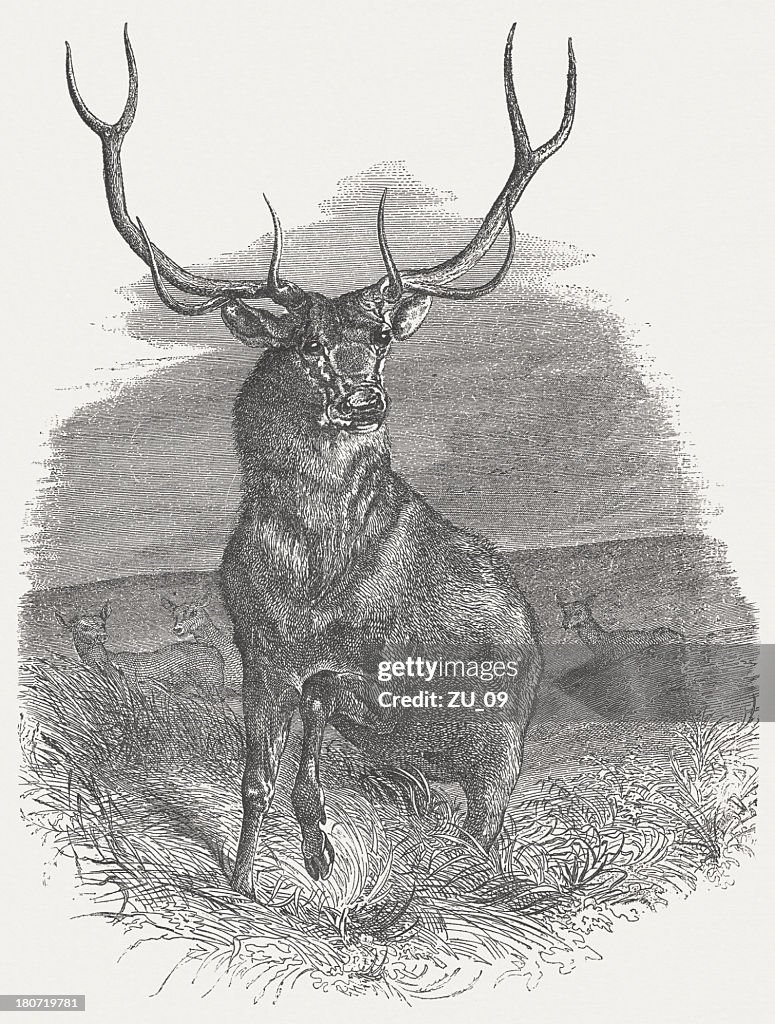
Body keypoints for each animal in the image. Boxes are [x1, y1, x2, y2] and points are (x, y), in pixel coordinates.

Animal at [56, 600, 226, 703]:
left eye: (102, 624)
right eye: (84, 627)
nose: (102, 636)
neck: (108, 662)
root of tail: (217, 654)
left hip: (211, 687)